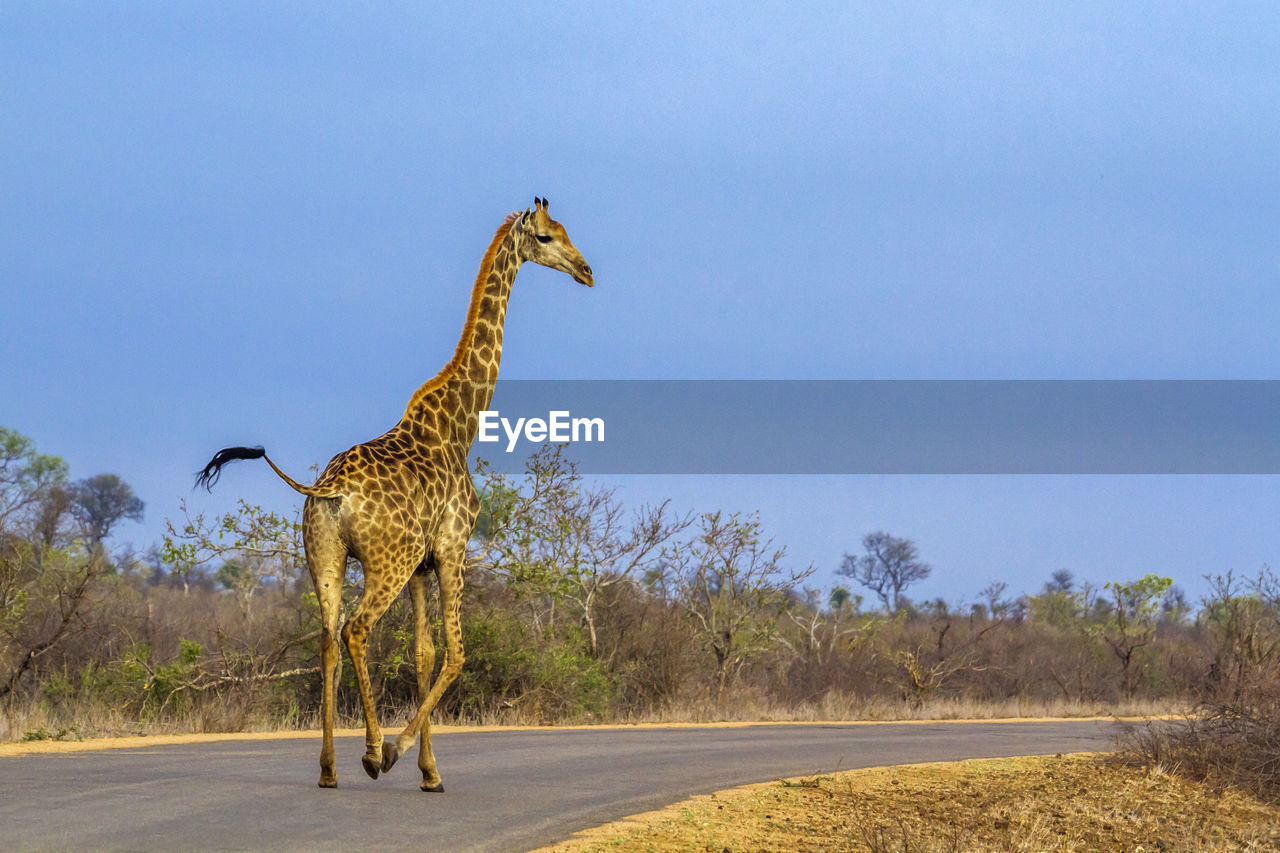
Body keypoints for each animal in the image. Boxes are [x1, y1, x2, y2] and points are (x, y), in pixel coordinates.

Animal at [195, 195, 593, 788]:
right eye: (546, 237)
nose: (587, 271)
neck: (460, 424)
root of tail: (330, 489)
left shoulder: (424, 566)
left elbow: (423, 653)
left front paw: (430, 771)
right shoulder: (451, 548)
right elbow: (455, 653)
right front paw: (401, 753)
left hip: (326, 555)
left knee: (327, 636)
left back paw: (329, 768)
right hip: (387, 561)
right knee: (357, 630)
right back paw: (371, 751)